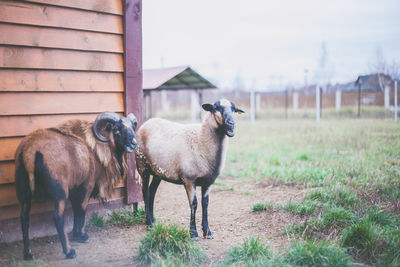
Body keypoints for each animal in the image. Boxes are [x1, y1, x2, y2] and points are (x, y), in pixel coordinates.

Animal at [14, 112, 138, 260]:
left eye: (132, 127)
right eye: (117, 130)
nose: (134, 143)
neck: (95, 148)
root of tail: (30, 152)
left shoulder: (75, 188)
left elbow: (75, 209)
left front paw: (75, 234)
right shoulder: (87, 185)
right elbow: (82, 209)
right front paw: (82, 236)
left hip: (24, 192)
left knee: (24, 217)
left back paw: (28, 253)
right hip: (60, 192)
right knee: (58, 217)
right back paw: (69, 251)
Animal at [136, 99, 245, 241]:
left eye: (234, 109)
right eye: (216, 108)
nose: (231, 124)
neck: (201, 139)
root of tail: (146, 122)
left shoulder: (208, 182)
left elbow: (205, 204)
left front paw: (207, 231)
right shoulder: (189, 180)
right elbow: (194, 204)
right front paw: (193, 233)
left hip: (158, 172)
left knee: (152, 192)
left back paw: (153, 220)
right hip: (142, 166)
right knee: (145, 192)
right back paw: (149, 223)